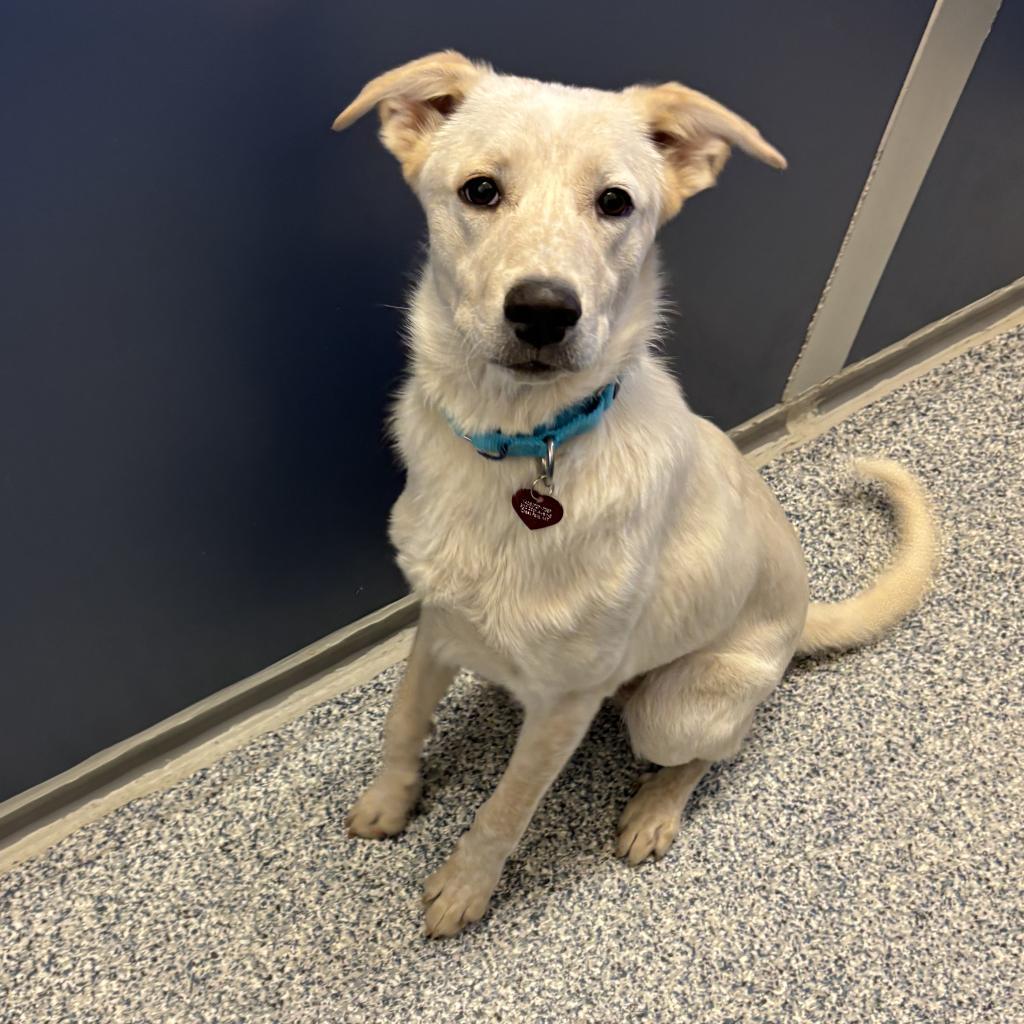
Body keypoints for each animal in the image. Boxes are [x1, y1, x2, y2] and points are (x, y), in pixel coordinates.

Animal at [333, 54, 937, 937]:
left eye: (615, 202)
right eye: (479, 190)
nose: (544, 311)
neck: (522, 447)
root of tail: (799, 622)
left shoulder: (564, 705)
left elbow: (505, 809)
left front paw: (465, 887)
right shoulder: (438, 622)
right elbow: (403, 716)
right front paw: (389, 798)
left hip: (676, 709)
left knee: (715, 750)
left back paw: (655, 809)